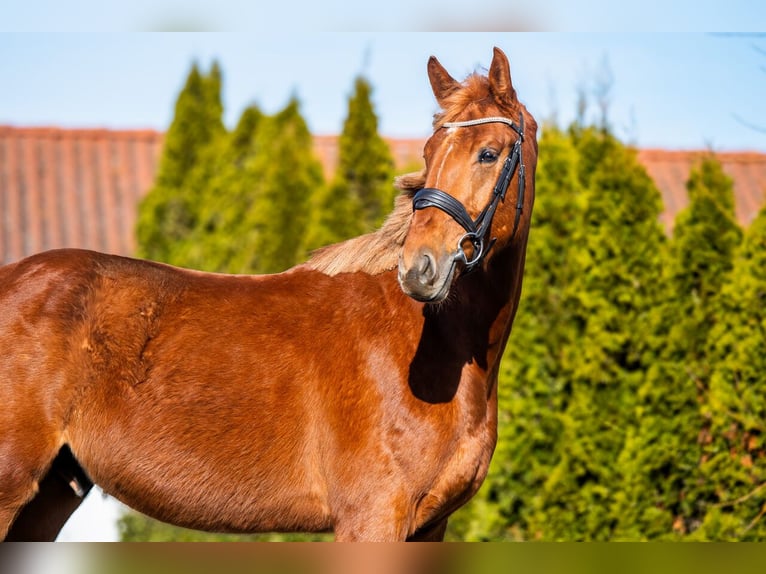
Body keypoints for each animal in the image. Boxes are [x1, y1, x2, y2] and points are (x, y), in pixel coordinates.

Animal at [1, 47, 540, 544]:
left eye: (489, 153)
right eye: (428, 154)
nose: (420, 267)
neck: (427, 348)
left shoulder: (429, 526)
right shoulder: (373, 517)